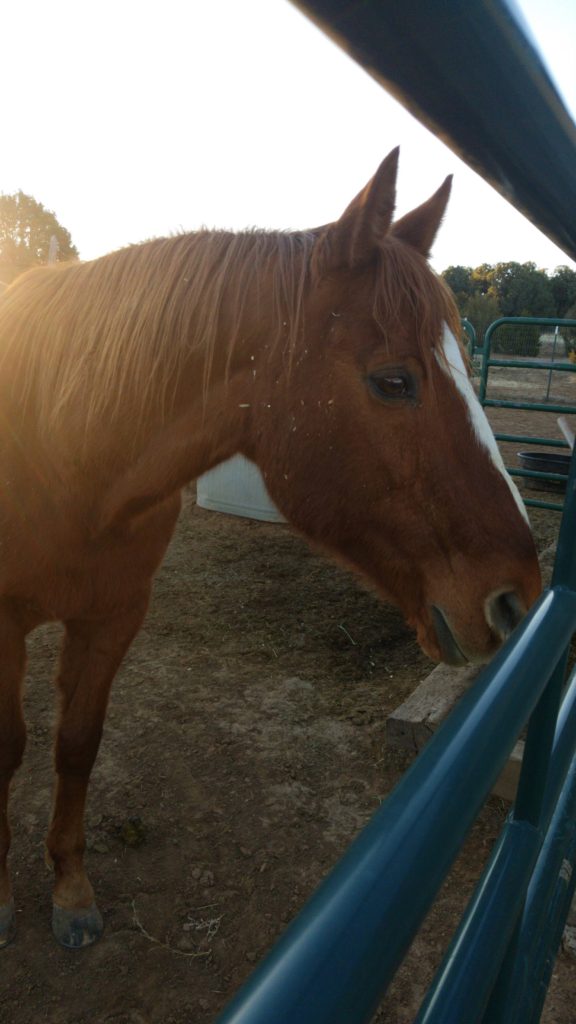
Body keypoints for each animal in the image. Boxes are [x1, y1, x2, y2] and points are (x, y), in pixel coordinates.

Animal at [0, 149, 537, 950]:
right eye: (394, 381)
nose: (517, 596)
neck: (61, 448)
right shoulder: (5, 627)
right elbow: (9, 749)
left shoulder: (114, 616)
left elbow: (77, 744)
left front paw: (69, 887)